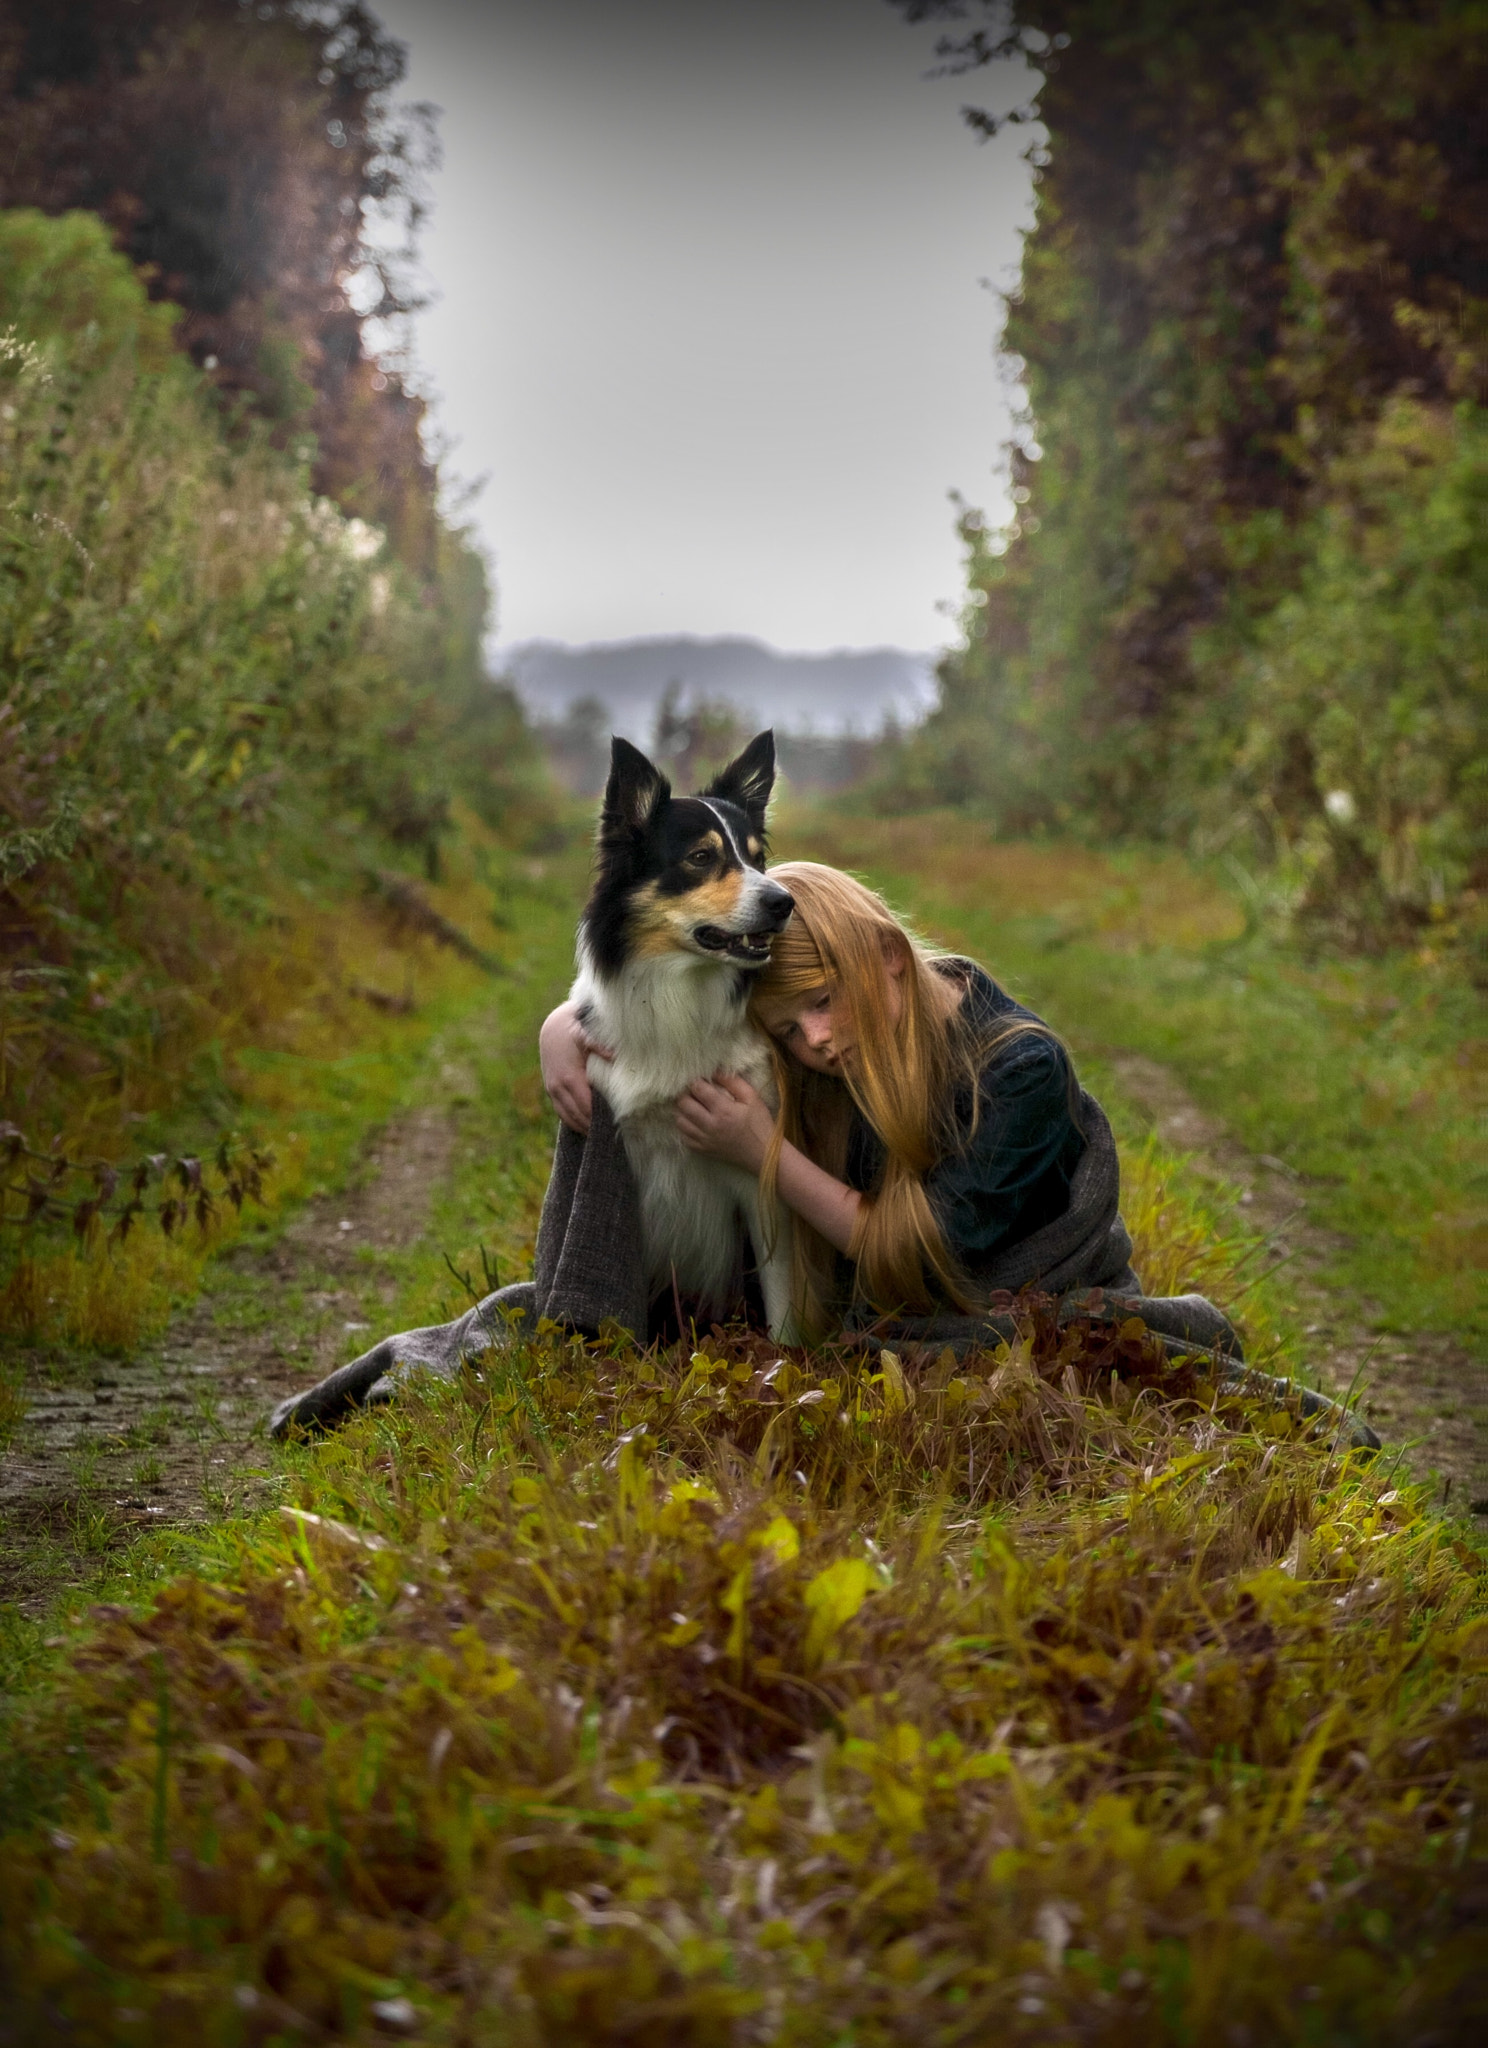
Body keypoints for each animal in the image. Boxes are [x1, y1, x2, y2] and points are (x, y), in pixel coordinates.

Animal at [573, 729, 802, 1335]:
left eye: (757, 858)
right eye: (702, 858)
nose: (784, 903)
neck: (682, 999)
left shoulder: (759, 1176)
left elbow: (783, 1298)